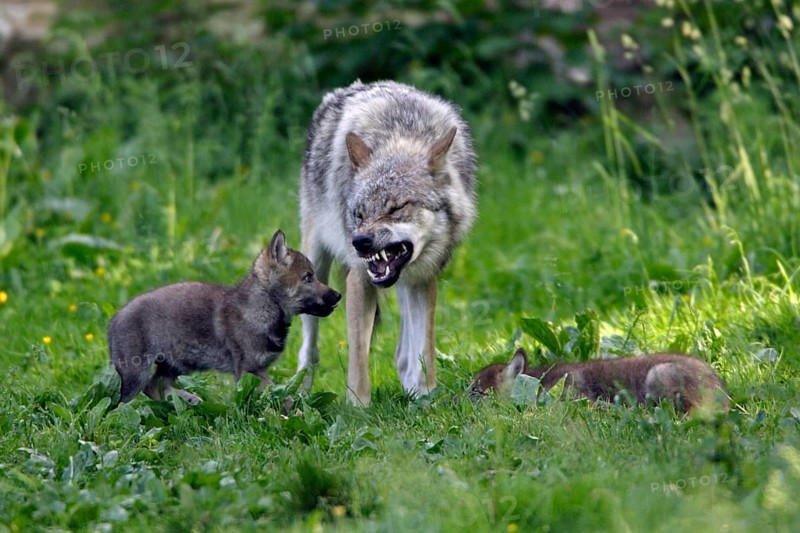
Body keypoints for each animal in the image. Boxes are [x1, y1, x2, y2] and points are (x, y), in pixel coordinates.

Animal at [109, 230, 341, 403]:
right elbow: (277, 393)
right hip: (136, 374)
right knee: (125, 402)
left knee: (155, 386)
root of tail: (113, 320)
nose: (338, 295)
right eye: (308, 277)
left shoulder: (261, 370)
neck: (263, 308)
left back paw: (187, 402)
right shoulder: (249, 370)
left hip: (175, 365)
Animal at [297, 81, 477, 405]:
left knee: (403, 353)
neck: (399, 135)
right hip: (314, 266)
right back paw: (300, 392)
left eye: (396, 208)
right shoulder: (360, 278)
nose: (359, 242)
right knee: (309, 350)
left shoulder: (424, 278)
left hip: (405, 285)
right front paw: (358, 408)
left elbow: (425, 350)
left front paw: (426, 397)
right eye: (359, 213)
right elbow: (358, 359)